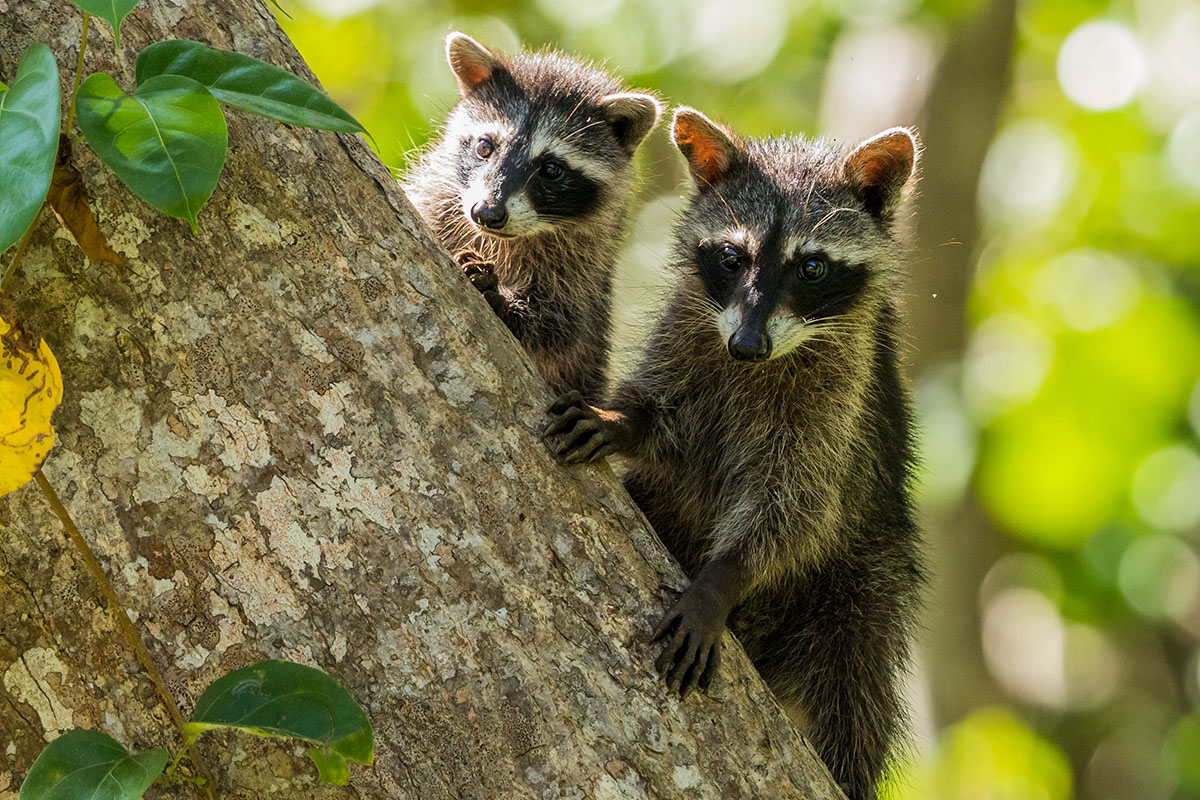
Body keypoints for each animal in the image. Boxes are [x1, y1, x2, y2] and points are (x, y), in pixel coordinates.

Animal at [404, 32, 662, 400]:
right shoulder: (438, 201)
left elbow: (562, 327)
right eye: (485, 147)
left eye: (551, 169)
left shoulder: (583, 267)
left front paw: (503, 299)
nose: (487, 213)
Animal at [546, 108, 925, 800]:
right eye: (731, 255)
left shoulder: (839, 401)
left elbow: (797, 505)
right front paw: (622, 420)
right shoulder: (689, 326)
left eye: (811, 267)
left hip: (866, 581)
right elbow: (662, 410)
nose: (747, 346)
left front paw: (724, 576)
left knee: (854, 690)